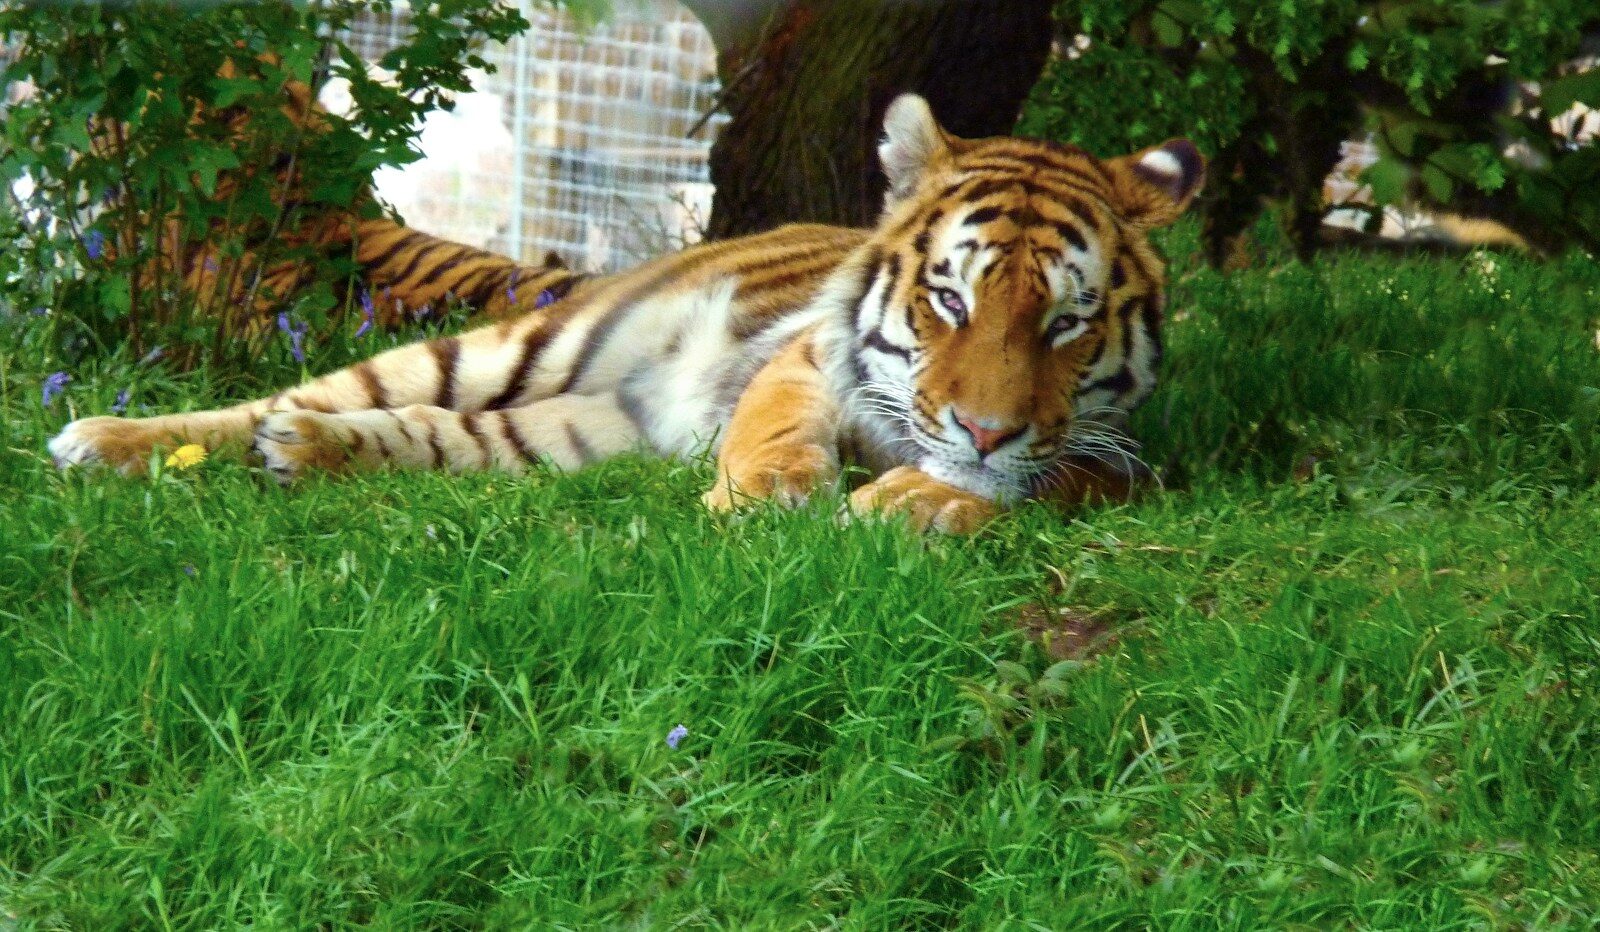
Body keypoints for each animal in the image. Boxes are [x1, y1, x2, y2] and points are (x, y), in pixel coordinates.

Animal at [48, 94, 1204, 534]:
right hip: (520, 349)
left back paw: (306, 452)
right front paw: (772, 494)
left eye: (1066, 322)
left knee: (424, 433)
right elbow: (776, 425)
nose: (983, 429)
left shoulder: (1123, 456)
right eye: (949, 297)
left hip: (564, 431)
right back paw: (104, 440)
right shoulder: (803, 358)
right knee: (294, 396)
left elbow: (1048, 480)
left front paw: (923, 499)